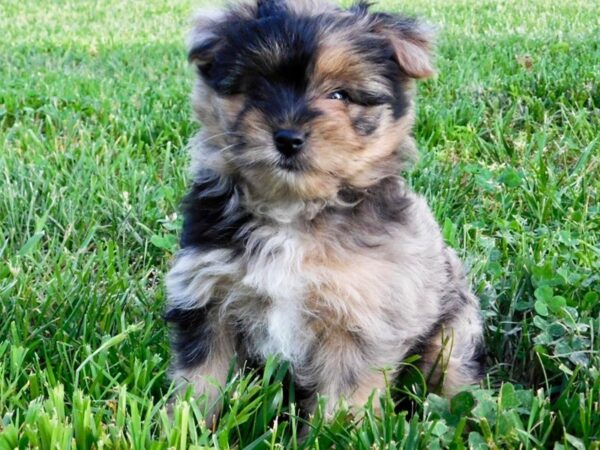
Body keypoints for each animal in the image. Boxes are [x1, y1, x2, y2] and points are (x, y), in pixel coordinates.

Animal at [164, 0, 482, 416]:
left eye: (340, 95)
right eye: (258, 86)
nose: (288, 138)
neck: (292, 211)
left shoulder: (358, 317)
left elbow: (341, 403)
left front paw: (333, 427)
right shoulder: (208, 298)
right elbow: (201, 381)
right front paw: (184, 422)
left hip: (450, 331)